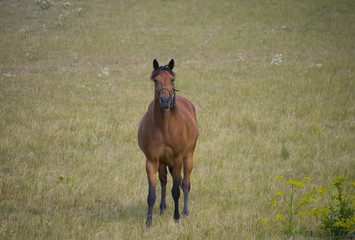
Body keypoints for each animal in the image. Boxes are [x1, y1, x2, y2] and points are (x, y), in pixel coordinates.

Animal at [138, 58, 199, 227]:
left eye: (172, 79)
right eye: (155, 80)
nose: (165, 101)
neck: (164, 128)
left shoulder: (177, 160)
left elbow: (176, 191)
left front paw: (177, 217)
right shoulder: (152, 161)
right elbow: (152, 194)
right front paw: (148, 222)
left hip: (188, 157)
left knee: (186, 184)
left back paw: (185, 212)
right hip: (162, 163)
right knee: (164, 181)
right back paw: (163, 208)